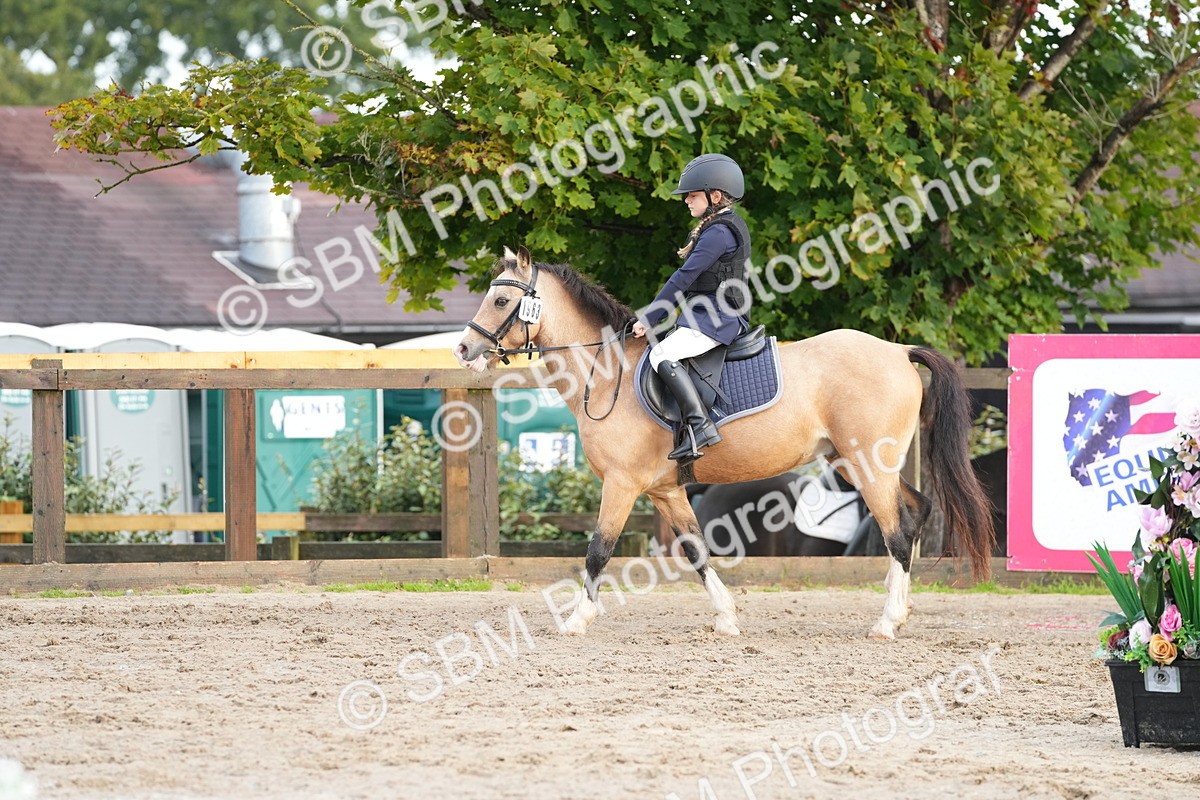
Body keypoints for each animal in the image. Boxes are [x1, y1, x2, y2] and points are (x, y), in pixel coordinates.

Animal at [454, 246, 994, 639]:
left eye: (501, 301)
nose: (463, 348)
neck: (609, 374)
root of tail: (898, 350)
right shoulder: (666, 491)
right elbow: (696, 551)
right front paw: (727, 618)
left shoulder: (622, 485)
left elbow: (598, 551)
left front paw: (577, 619)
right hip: (854, 464)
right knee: (916, 512)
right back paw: (899, 608)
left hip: (869, 467)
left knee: (897, 531)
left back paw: (885, 623)